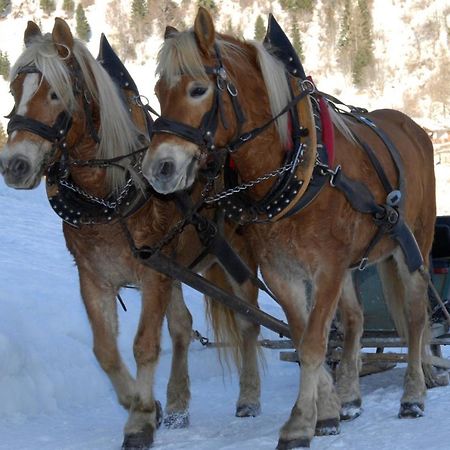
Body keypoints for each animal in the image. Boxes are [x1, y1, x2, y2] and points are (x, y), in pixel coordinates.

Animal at [0, 16, 260, 446]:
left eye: (56, 94)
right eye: (14, 90)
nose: (15, 165)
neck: (108, 193)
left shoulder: (153, 275)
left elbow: (144, 346)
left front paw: (139, 421)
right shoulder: (95, 277)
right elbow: (106, 351)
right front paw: (147, 405)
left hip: (237, 258)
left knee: (248, 320)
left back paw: (250, 397)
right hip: (179, 269)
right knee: (183, 329)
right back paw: (176, 406)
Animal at [141, 7, 436, 450]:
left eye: (197, 90)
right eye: (159, 91)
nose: (159, 169)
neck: (302, 166)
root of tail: (413, 128)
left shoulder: (327, 269)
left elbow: (313, 343)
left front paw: (299, 423)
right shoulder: (283, 271)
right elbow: (304, 337)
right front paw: (325, 413)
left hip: (414, 245)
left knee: (416, 318)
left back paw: (414, 395)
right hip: (353, 265)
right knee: (355, 321)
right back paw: (351, 396)